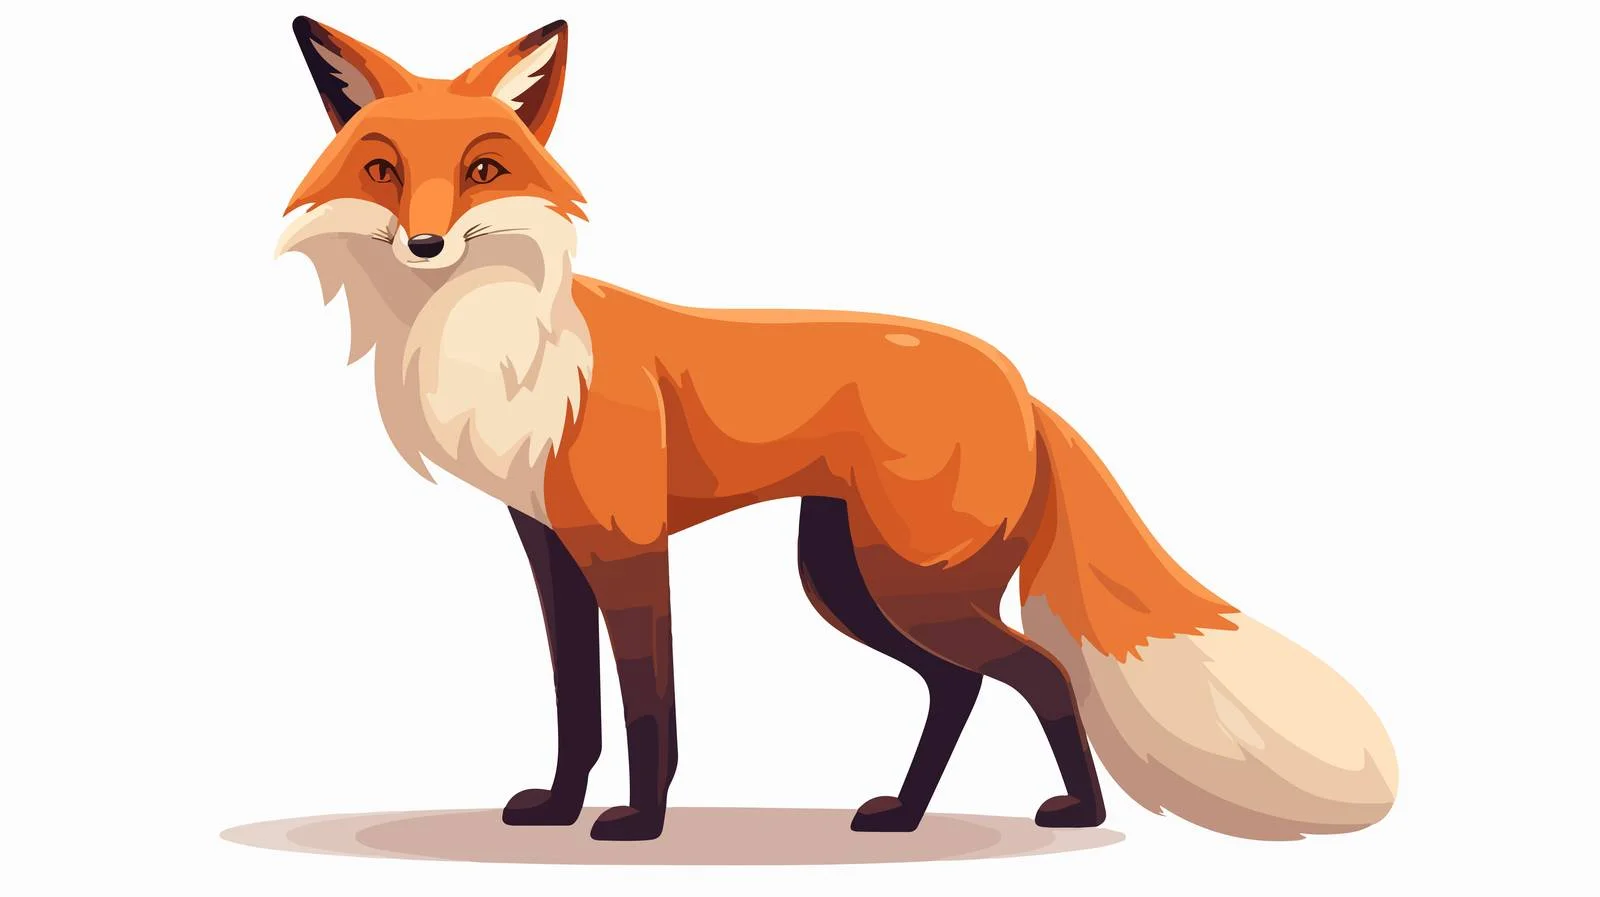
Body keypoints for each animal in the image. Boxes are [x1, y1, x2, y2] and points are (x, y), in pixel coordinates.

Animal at [277, 17, 1398, 843]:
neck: (508, 346)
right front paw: (557, 809)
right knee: (960, 685)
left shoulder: (629, 546)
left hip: (906, 582)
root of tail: (1021, 384)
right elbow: (576, 707)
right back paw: (904, 813)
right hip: (851, 580)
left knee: (1033, 670)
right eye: (381, 169)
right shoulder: (553, 548)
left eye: (483, 168)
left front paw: (639, 823)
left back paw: (1075, 813)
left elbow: (647, 708)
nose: (427, 244)